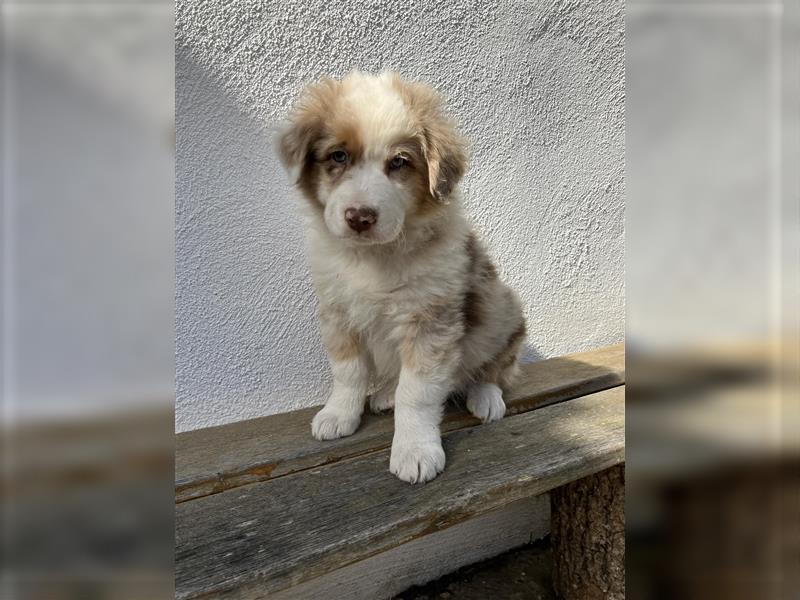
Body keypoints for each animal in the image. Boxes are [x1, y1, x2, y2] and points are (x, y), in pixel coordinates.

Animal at [278, 71, 528, 482]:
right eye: (338, 156)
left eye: (398, 162)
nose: (360, 217)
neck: (374, 256)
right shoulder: (337, 311)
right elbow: (347, 371)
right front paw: (338, 415)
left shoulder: (430, 321)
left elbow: (419, 393)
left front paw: (415, 451)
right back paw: (385, 395)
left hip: (502, 309)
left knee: (495, 367)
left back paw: (486, 397)